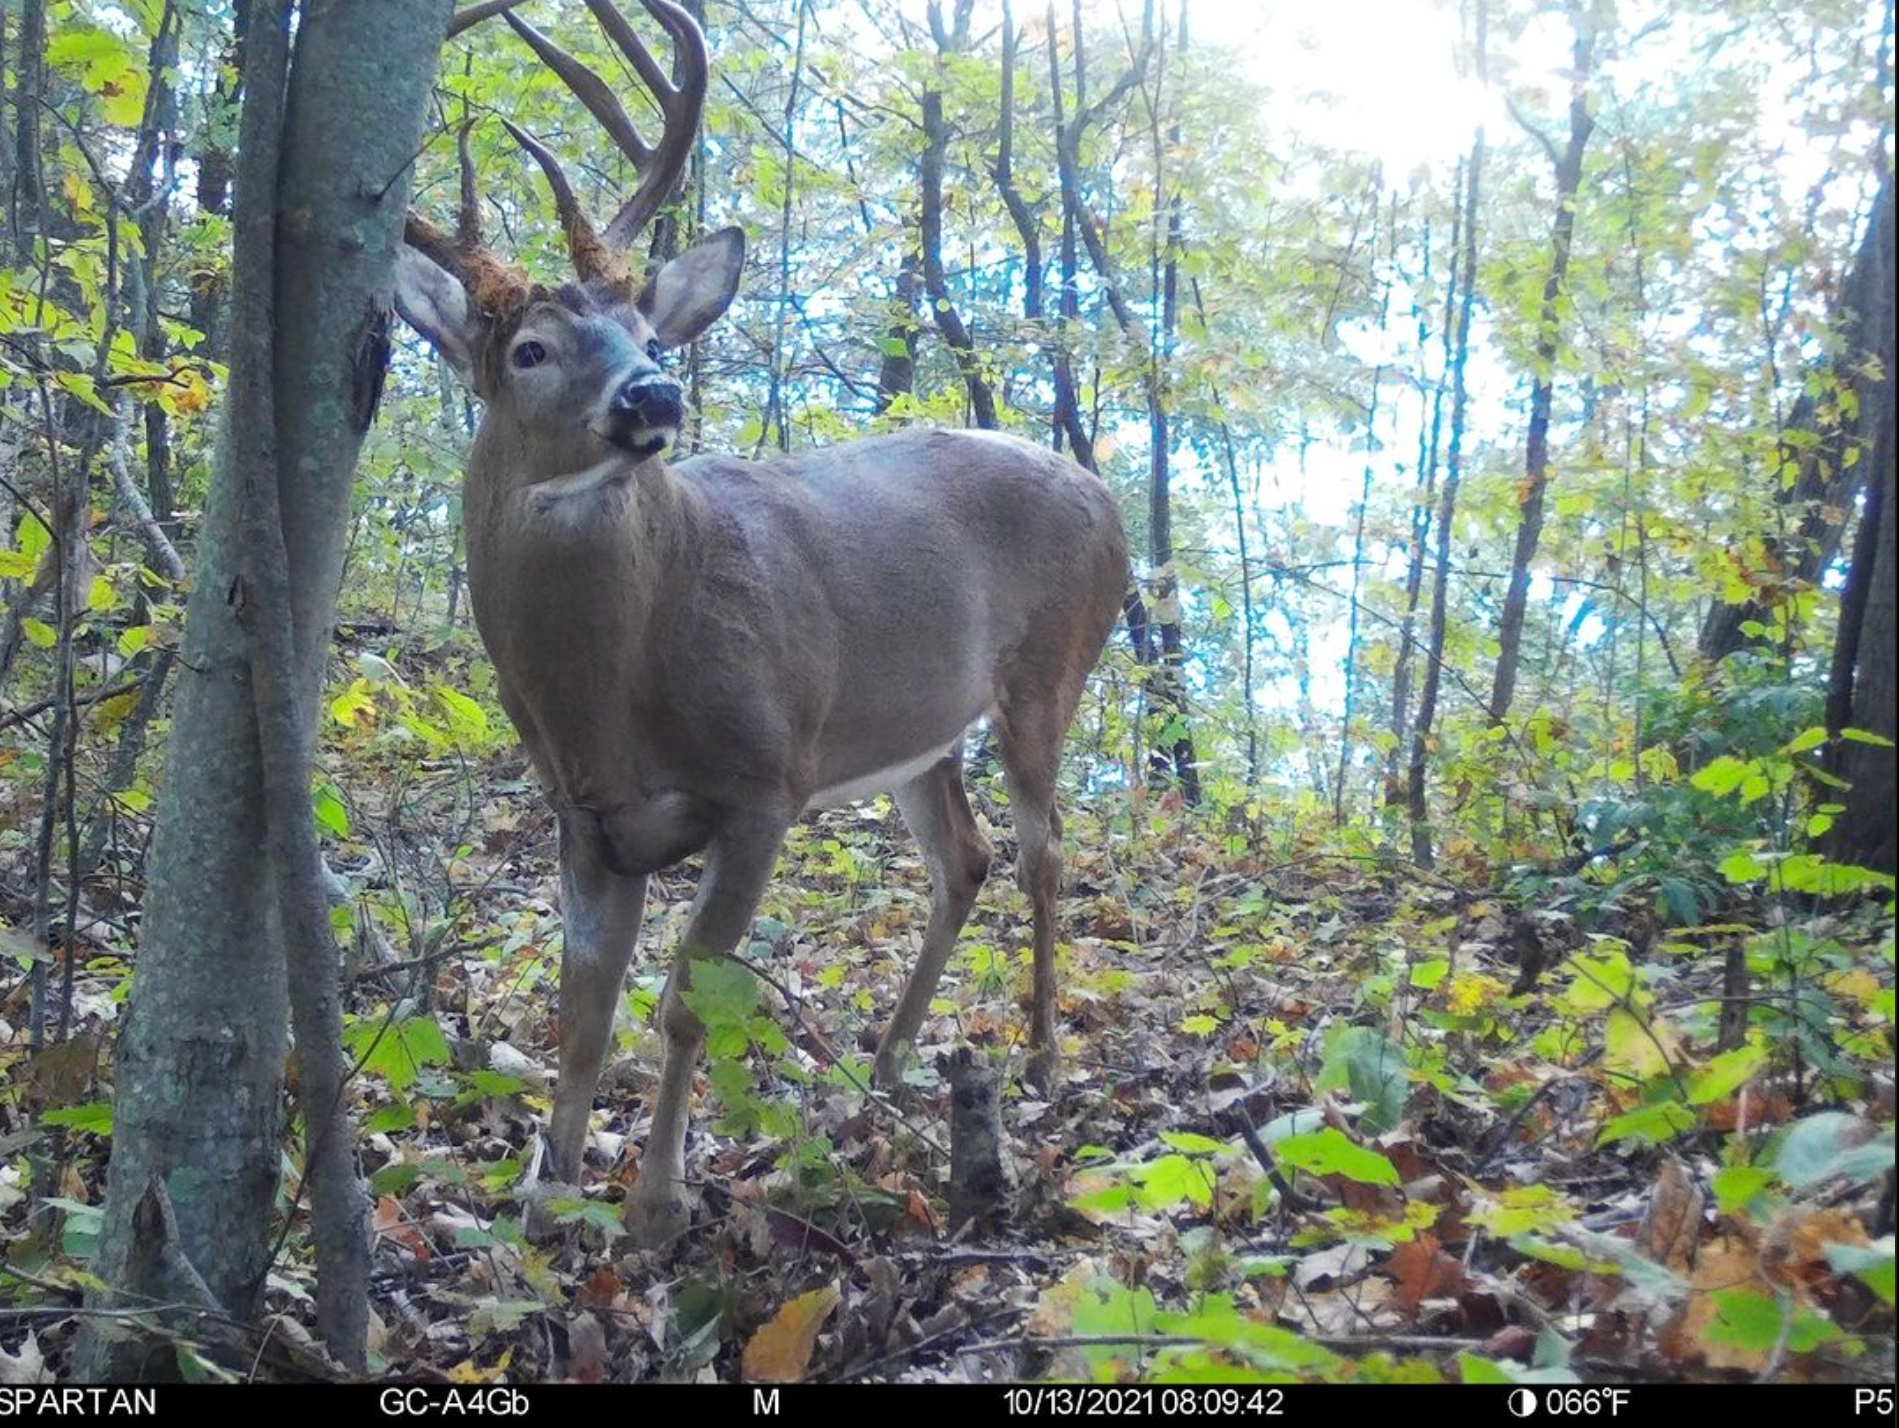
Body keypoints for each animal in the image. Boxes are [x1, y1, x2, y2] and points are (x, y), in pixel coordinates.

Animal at [394, 0, 1128, 1247]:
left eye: (648, 329)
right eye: (529, 349)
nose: (654, 394)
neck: (609, 692)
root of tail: (1110, 498)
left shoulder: (763, 782)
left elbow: (689, 1002)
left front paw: (655, 1203)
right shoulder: (584, 820)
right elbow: (584, 1008)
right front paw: (547, 1199)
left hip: (1050, 670)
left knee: (1045, 852)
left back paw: (1035, 1061)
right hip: (914, 731)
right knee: (966, 858)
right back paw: (886, 1067)